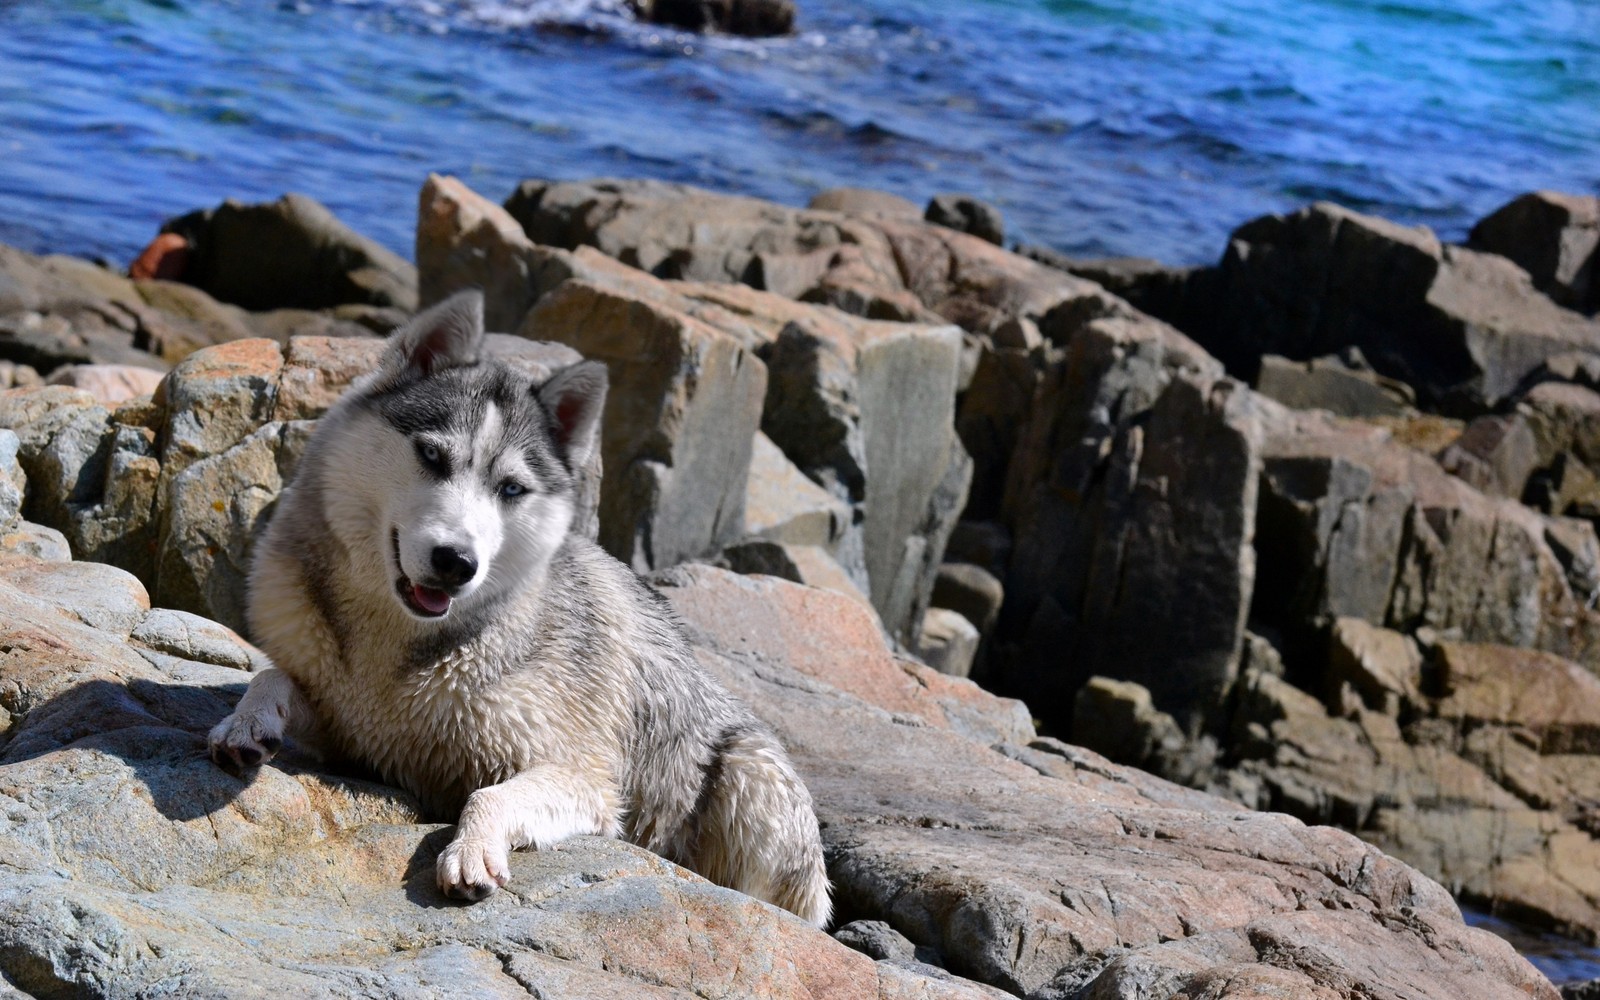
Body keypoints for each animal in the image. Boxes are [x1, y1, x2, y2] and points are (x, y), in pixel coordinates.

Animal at [211, 291, 832, 928]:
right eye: (431, 455)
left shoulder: (583, 776)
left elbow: (490, 793)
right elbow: (270, 676)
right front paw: (246, 721)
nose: (456, 562)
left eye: (510, 489)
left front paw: (472, 848)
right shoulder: (350, 730)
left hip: (750, 774)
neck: (401, 641)